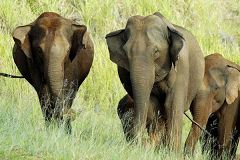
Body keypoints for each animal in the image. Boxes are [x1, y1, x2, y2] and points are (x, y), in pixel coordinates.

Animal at [105, 11, 204, 150]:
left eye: (156, 51)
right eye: (125, 52)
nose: (141, 141)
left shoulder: (182, 67)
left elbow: (171, 104)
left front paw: (172, 152)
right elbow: (152, 105)